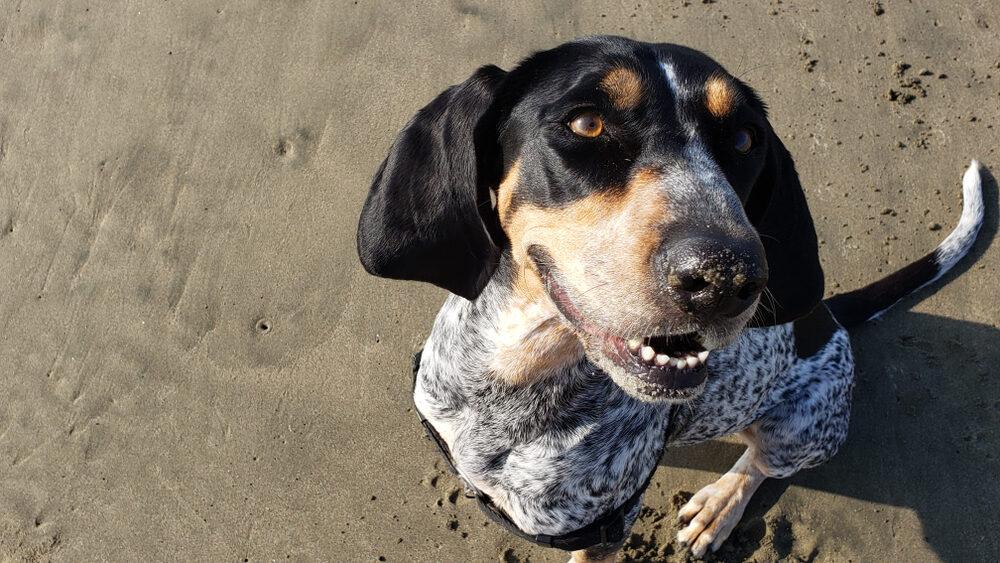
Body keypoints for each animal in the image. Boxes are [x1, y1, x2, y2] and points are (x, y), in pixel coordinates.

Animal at [354, 37, 984, 560]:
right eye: (587, 123)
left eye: (744, 139)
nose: (728, 276)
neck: (512, 381)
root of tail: (829, 315)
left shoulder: (605, 530)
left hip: (801, 430)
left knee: (761, 464)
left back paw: (719, 507)